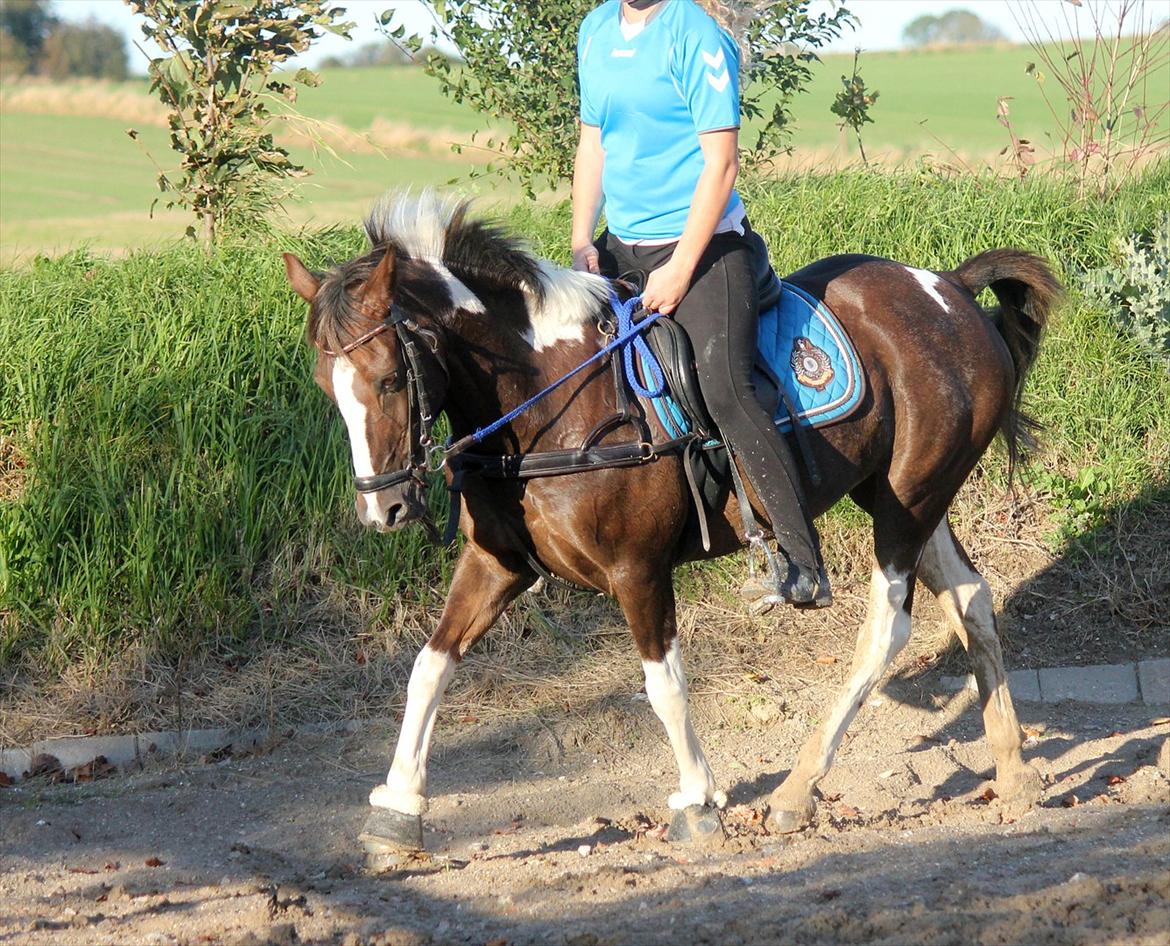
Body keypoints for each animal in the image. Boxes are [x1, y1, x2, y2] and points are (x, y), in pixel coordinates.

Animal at [283, 191, 1062, 855]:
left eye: (389, 379)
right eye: (326, 386)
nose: (382, 510)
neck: (547, 401)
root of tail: (949, 289)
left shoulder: (638, 568)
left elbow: (664, 685)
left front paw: (697, 800)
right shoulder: (494, 564)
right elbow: (429, 667)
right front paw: (397, 807)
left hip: (910, 496)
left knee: (888, 627)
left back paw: (796, 789)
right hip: (900, 495)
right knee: (970, 597)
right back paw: (1015, 773)